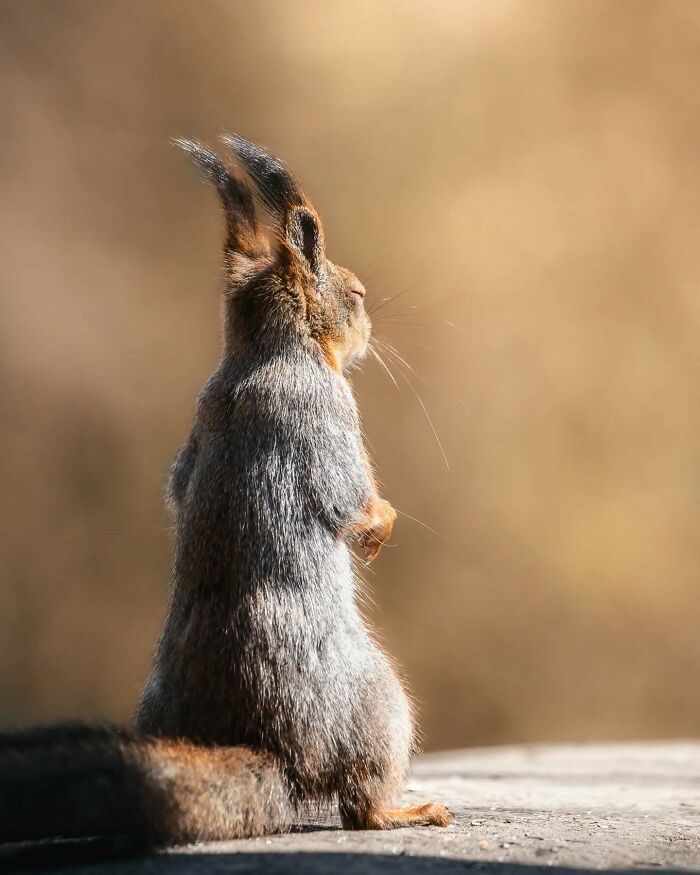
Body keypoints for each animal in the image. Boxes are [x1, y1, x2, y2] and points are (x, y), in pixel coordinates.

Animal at [0, 133, 452, 852]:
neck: (259, 354)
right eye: (354, 292)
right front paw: (380, 526)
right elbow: (349, 499)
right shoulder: (326, 414)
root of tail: (262, 743)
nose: (370, 330)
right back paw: (408, 810)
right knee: (361, 803)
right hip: (379, 705)